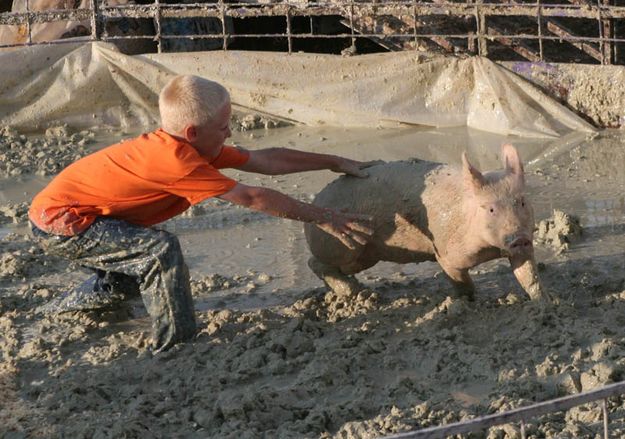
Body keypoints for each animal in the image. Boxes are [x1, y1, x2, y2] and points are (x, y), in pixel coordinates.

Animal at [302, 144, 552, 302]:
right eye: (491, 209)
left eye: (521, 202)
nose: (519, 238)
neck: (489, 249)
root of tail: (316, 201)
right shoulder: (446, 253)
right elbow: (460, 280)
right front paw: (466, 303)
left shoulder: (521, 248)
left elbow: (528, 275)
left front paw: (546, 301)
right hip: (345, 246)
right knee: (314, 263)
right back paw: (355, 292)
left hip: (366, 254)